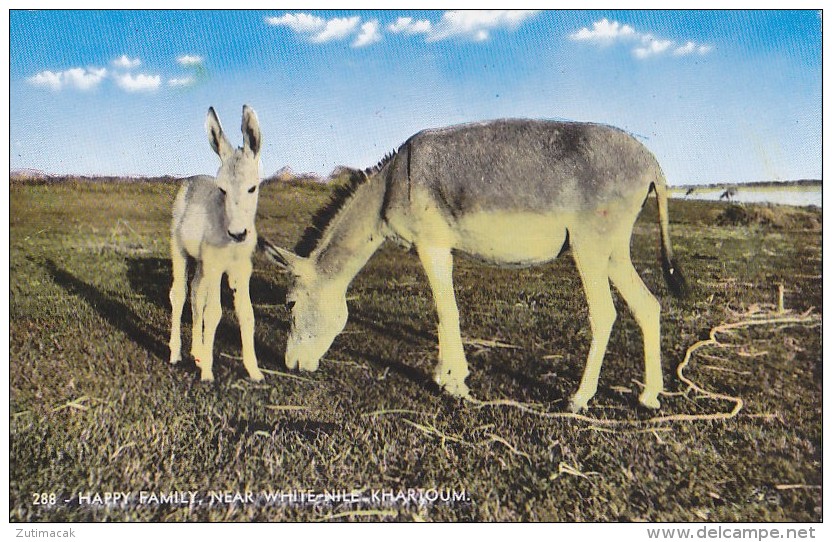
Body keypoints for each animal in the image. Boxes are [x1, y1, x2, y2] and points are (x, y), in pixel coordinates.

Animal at [171, 103, 268, 382]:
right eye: (222, 190)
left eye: (252, 188)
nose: (238, 233)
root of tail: (192, 178)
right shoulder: (215, 266)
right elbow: (214, 313)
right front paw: (207, 373)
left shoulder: (241, 270)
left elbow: (247, 314)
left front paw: (254, 371)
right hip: (180, 251)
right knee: (180, 294)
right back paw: (176, 354)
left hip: (202, 264)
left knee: (195, 294)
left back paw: (197, 352)